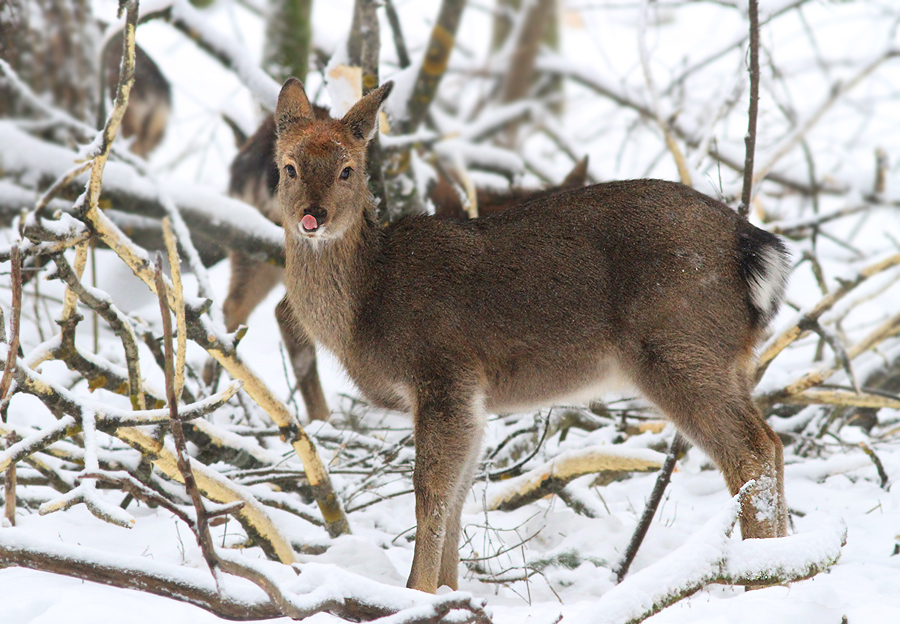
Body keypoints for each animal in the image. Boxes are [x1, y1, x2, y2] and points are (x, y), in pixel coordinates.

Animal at [274, 75, 788, 592]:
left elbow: (430, 490)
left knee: (750, 450)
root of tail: (754, 246)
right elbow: (459, 492)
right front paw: (449, 592)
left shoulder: (443, 371)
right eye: (289, 167)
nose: (313, 216)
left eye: (347, 170)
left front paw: (418, 591)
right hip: (729, 357)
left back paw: (757, 575)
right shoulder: (473, 397)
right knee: (774, 440)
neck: (367, 306)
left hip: (676, 343)